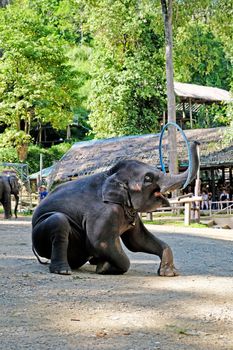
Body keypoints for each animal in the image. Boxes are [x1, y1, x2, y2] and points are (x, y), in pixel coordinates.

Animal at [31, 142, 199, 276]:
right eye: (148, 178)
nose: (195, 142)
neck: (110, 174)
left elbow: (138, 241)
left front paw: (169, 273)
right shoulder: (104, 213)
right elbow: (101, 242)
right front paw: (104, 268)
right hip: (40, 237)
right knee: (58, 221)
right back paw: (63, 270)